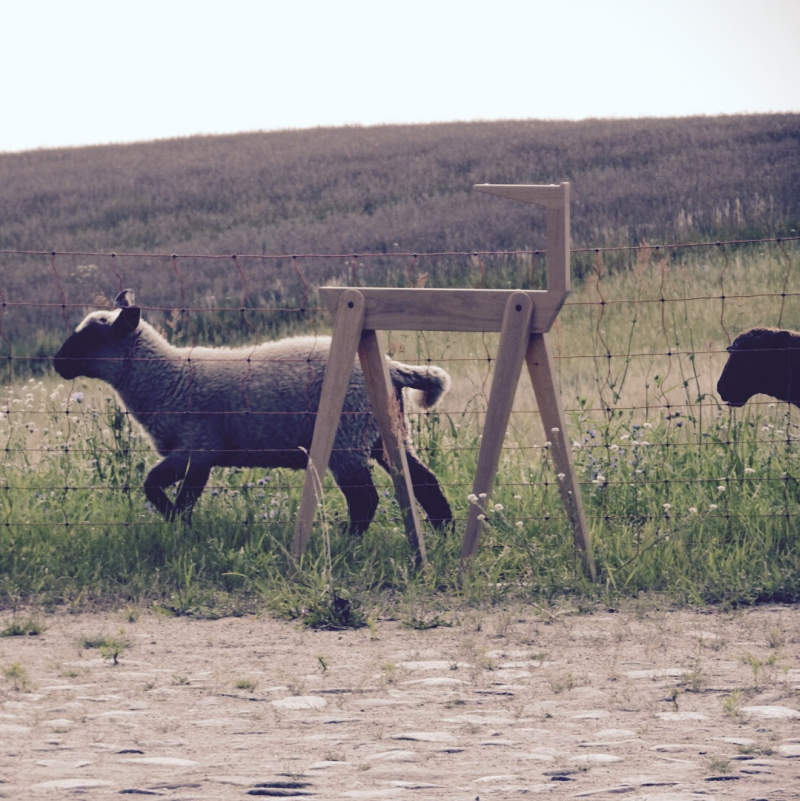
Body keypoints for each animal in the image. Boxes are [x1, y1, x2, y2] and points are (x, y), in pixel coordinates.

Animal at [54, 290, 456, 536]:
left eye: (92, 338)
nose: (57, 363)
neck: (168, 378)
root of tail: (392, 369)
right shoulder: (197, 454)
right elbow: (169, 491)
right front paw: (180, 528)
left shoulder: (198, 448)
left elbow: (163, 489)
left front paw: (178, 525)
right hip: (382, 434)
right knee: (424, 481)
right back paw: (445, 531)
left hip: (347, 438)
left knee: (364, 499)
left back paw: (349, 540)